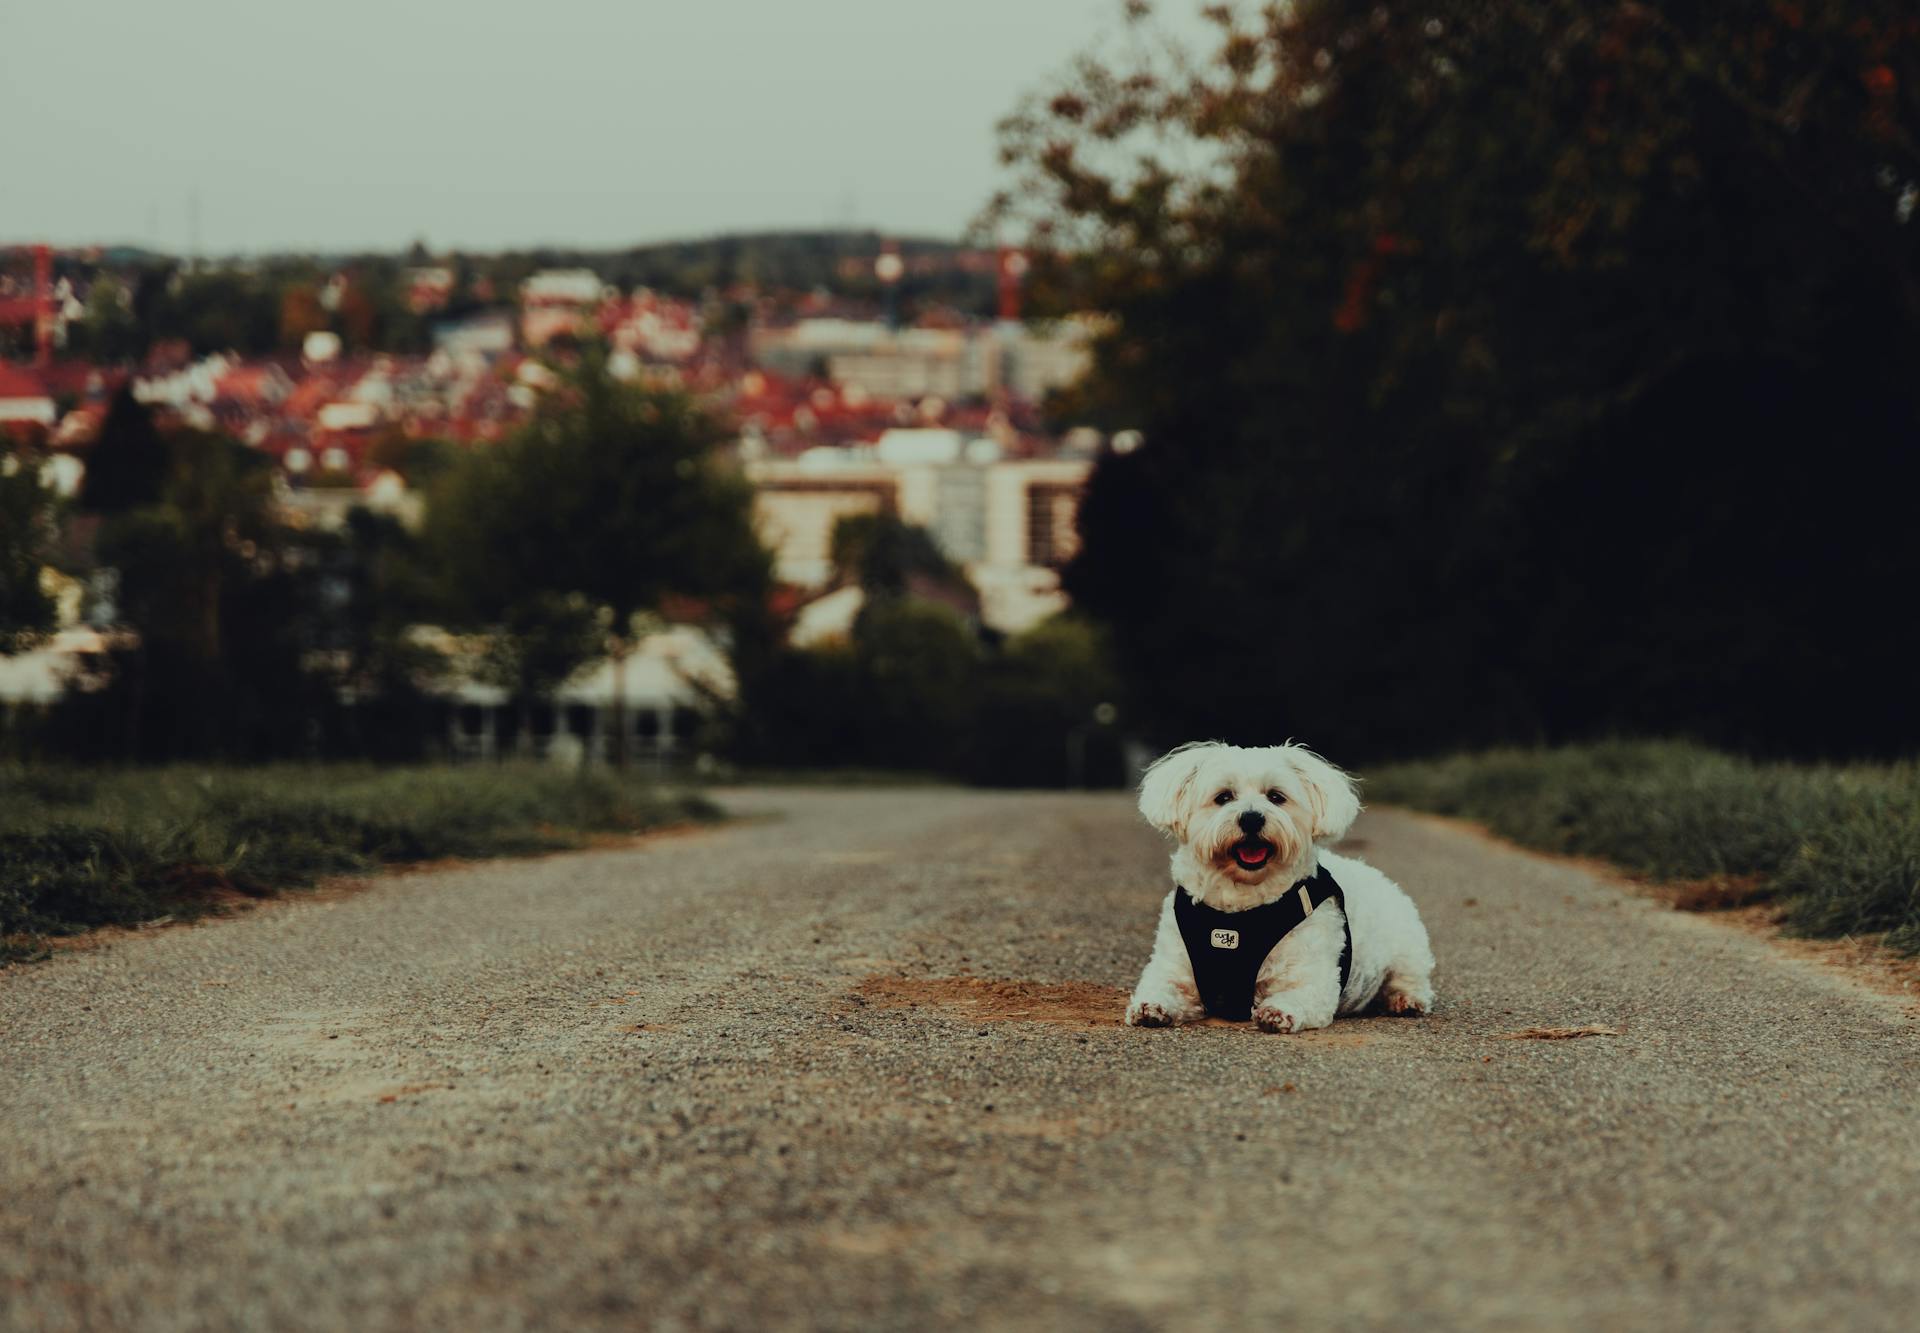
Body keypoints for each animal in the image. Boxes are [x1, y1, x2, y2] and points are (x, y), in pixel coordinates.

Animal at [1121, 741, 1443, 1037]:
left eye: (1276, 797)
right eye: (1223, 797)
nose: (1252, 818)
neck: (1239, 913)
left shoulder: (1312, 981)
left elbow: (1297, 994)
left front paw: (1277, 1011)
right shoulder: (1174, 971)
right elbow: (1163, 987)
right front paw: (1151, 1006)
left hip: (1408, 952)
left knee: (1410, 980)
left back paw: (1405, 1000)